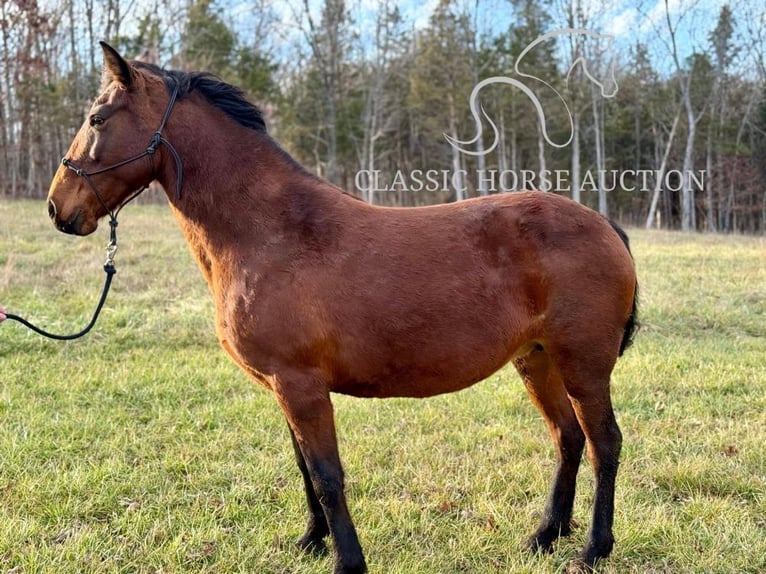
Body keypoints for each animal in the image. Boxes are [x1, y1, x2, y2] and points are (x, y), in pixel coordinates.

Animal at [45, 42, 640, 572]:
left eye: (97, 118)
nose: (57, 208)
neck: (272, 232)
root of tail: (601, 223)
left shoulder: (301, 385)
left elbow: (328, 476)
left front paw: (347, 560)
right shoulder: (283, 386)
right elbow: (306, 469)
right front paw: (312, 541)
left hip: (583, 364)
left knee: (604, 443)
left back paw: (592, 549)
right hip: (536, 359)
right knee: (568, 437)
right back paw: (545, 536)